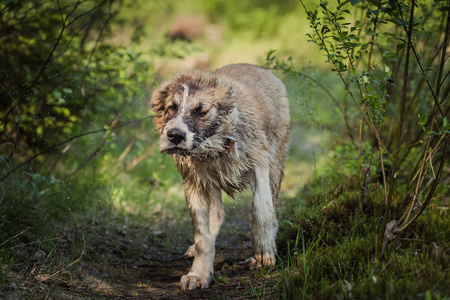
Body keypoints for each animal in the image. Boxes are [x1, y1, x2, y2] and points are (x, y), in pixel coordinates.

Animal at [149, 63, 290, 290]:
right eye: (172, 107)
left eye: (202, 112)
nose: (175, 136)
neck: (215, 146)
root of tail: (259, 68)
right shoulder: (193, 181)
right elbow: (202, 235)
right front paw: (198, 273)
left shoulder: (259, 163)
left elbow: (261, 208)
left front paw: (263, 251)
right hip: (210, 181)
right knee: (217, 213)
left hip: (276, 160)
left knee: (272, 207)